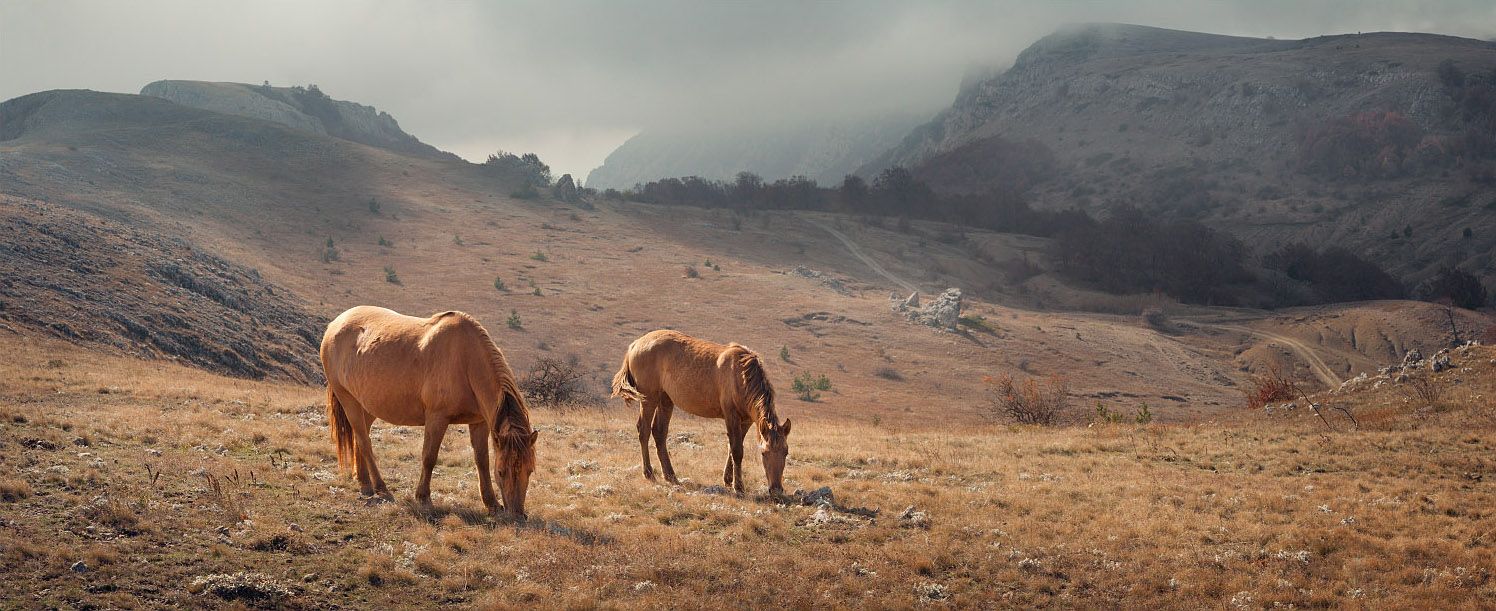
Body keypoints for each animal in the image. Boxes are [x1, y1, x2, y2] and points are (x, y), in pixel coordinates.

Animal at [318, 305, 541, 515]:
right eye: (502, 471)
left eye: (530, 470)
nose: (517, 514)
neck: (465, 360)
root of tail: (334, 325)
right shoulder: (437, 418)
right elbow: (429, 457)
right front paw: (423, 498)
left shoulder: (479, 423)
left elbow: (482, 461)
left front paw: (492, 504)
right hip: (349, 401)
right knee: (364, 442)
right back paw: (382, 489)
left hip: (368, 406)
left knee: (360, 438)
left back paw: (365, 483)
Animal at [610, 332, 795, 494]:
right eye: (764, 453)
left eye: (785, 452)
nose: (776, 490)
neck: (741, 375)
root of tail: (635, 345)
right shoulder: (731, 416)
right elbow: (736, 451)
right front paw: (738, 487)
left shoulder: (747, 421)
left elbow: (732, 448)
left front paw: (728, 479)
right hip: (649, 398)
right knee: (644, 430)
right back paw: (649, 473)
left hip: (666, 400)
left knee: (659, 432)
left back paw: (671, 476)